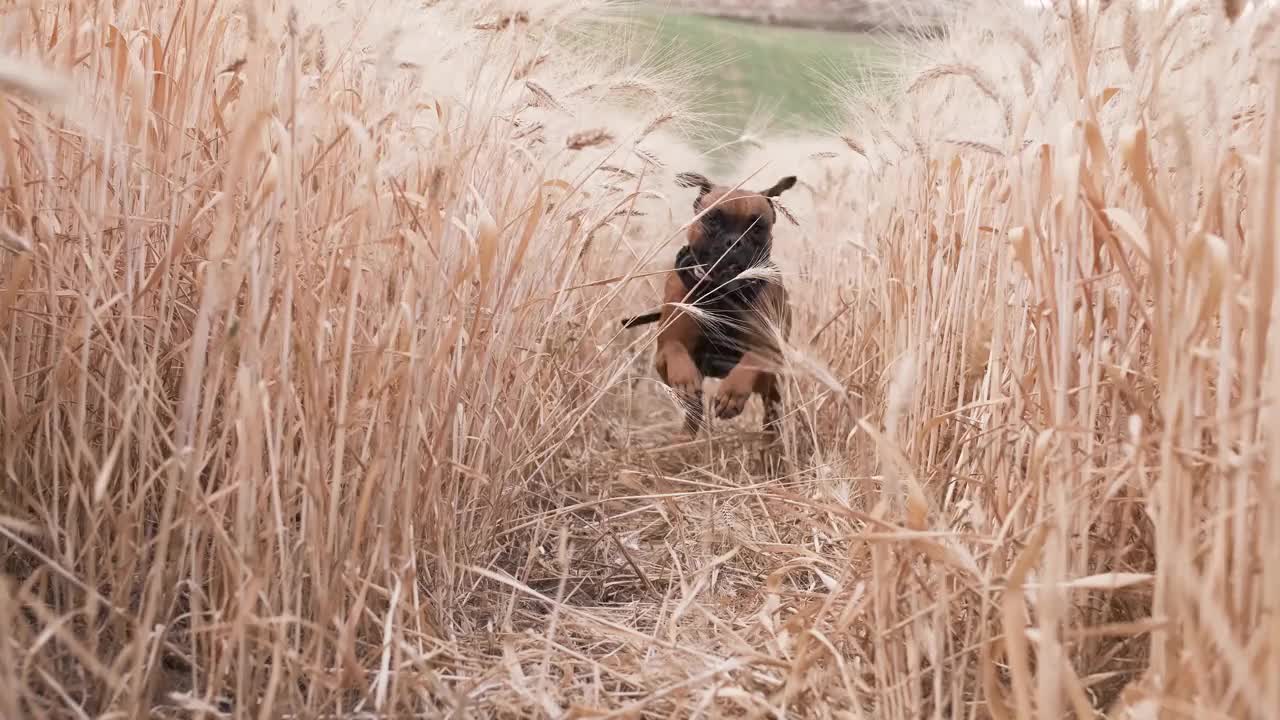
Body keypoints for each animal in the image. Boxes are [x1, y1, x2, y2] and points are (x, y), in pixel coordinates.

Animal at [616, 170, 788, 435]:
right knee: (693, 413)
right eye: (712, 220)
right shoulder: (666, 350)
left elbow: (752, 359)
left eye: (757, 227)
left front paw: (732, 394)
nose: (734, 242)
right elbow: (676, 350)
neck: (722, 293)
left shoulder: (769, 351)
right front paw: (685, 381)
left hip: (773, 385)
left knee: (772, 407)